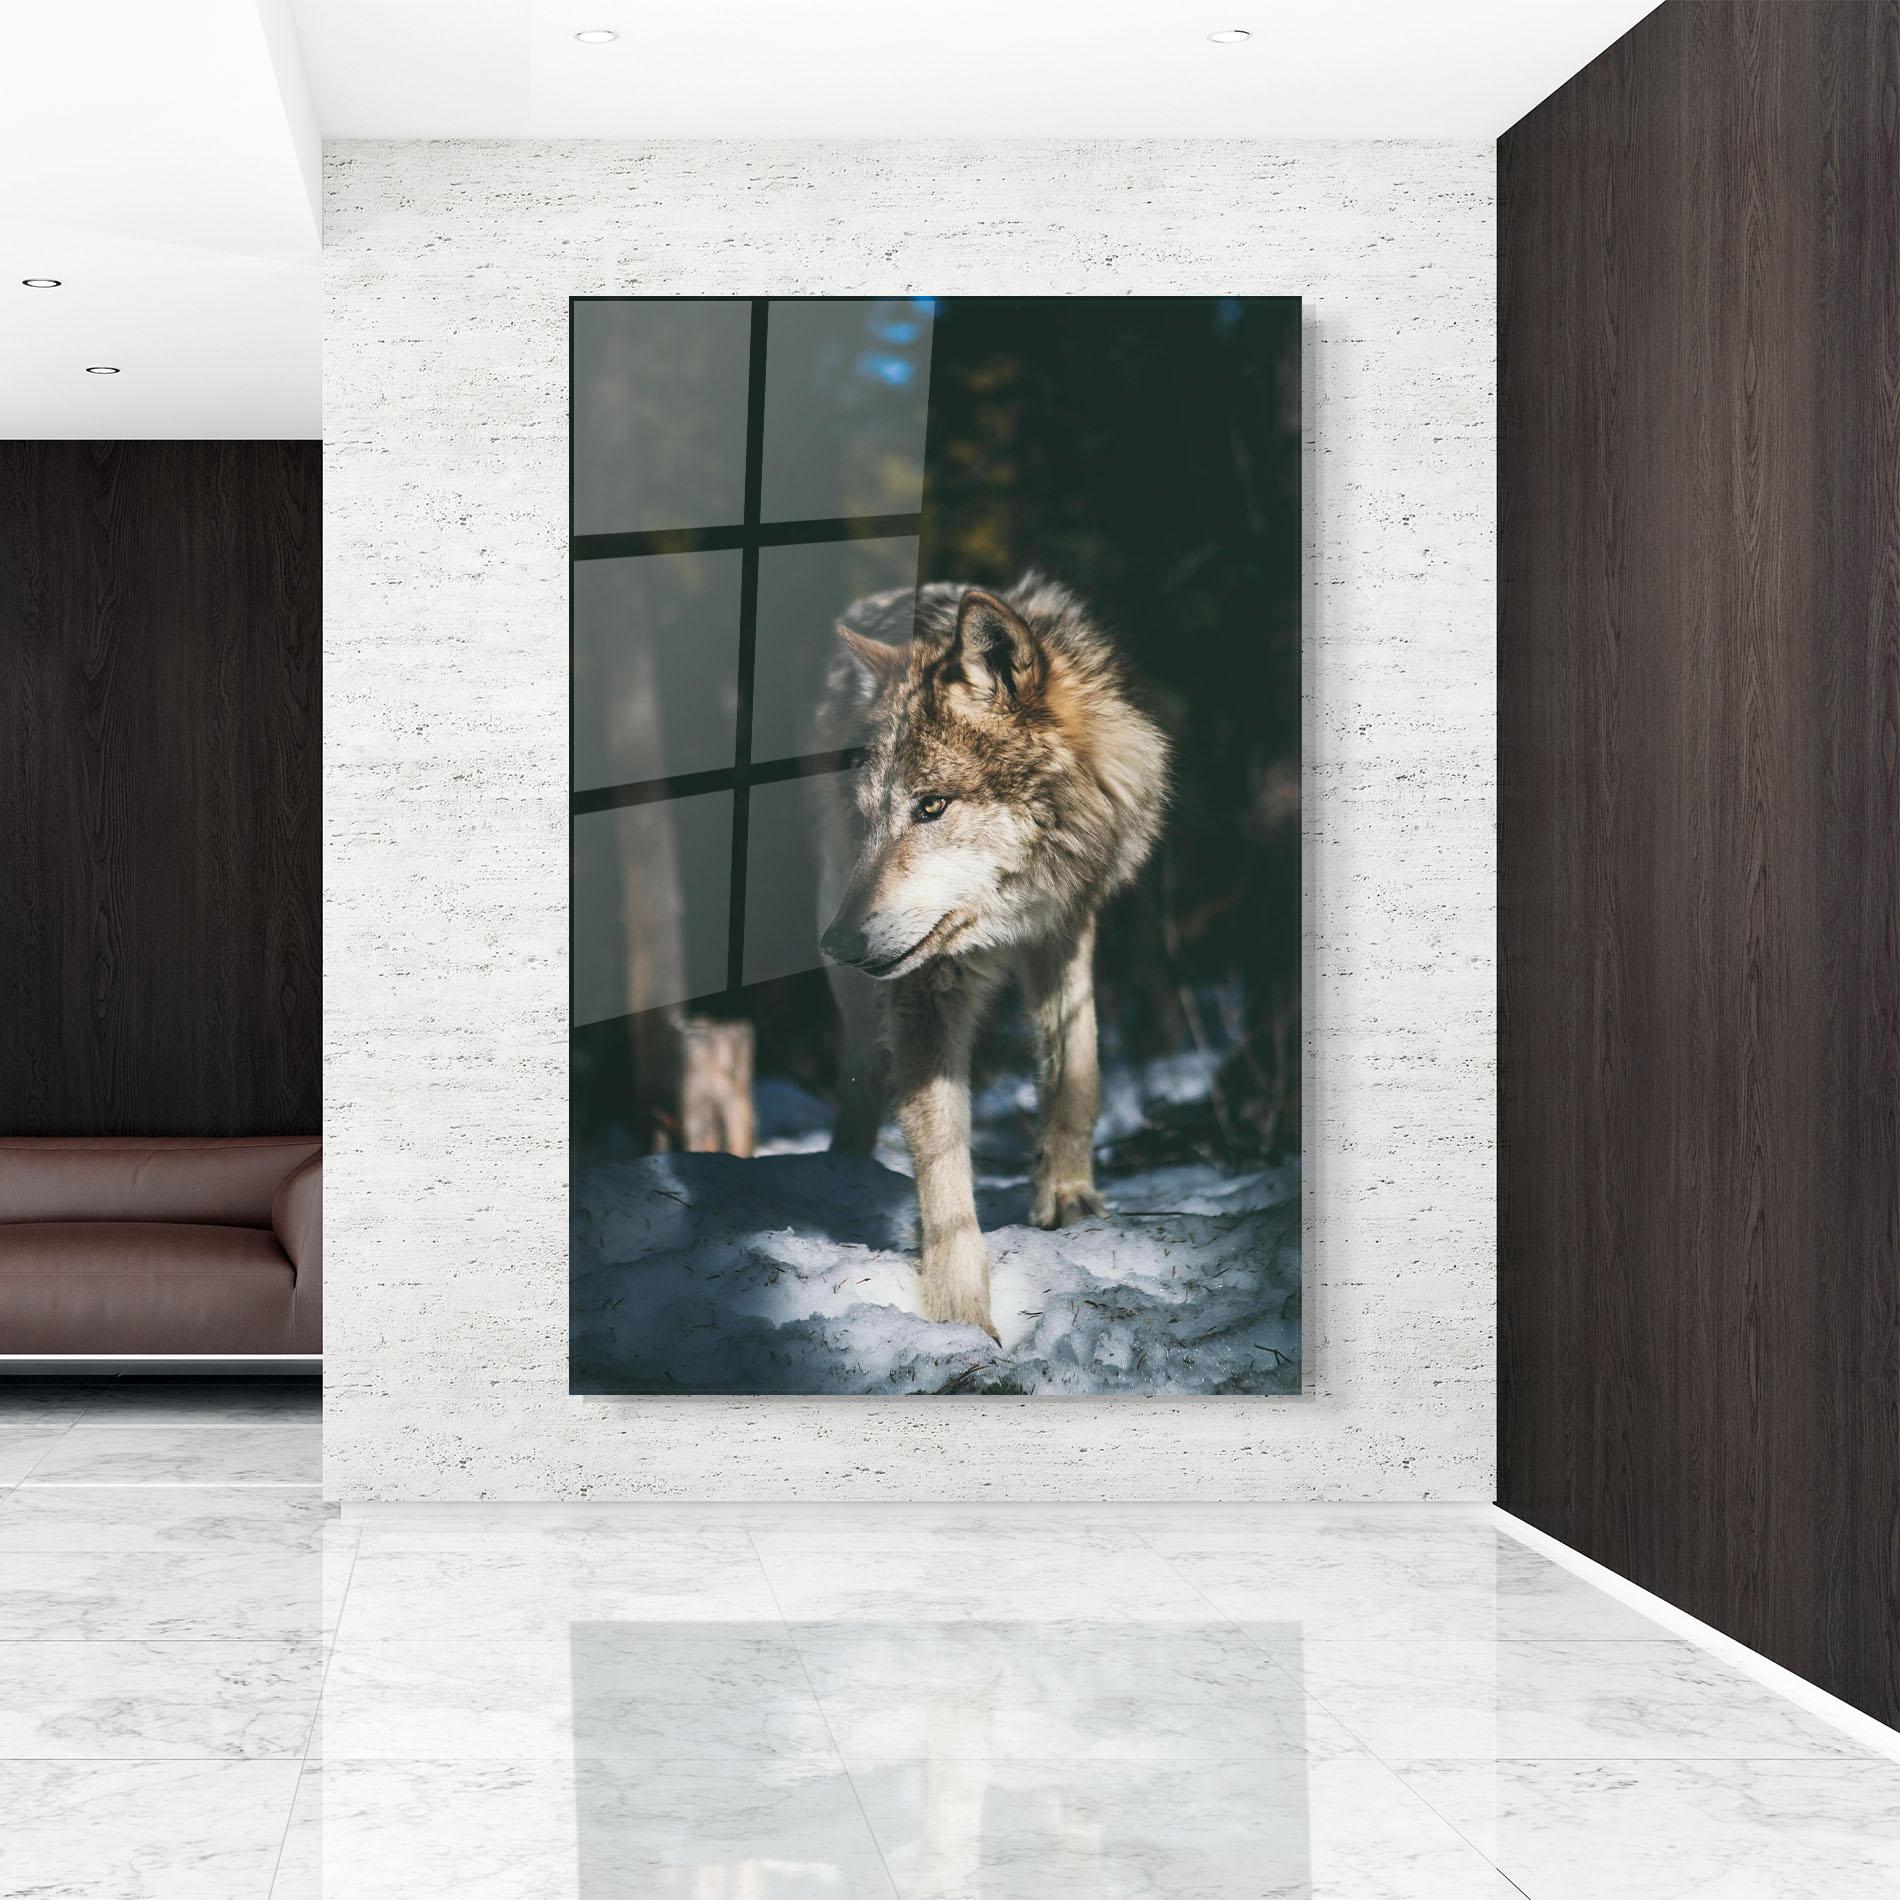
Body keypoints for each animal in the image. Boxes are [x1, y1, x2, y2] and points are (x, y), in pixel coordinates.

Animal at [814, 574, 1172, 1341]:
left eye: (931, 806)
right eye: (871, 816)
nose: (840, 943)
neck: (1007, 914)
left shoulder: (1066, 924)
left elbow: (1078, 1070)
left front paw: (1067, 1198)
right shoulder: (925, 985)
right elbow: (942, 1160)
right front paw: (959, 1318)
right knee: (862, 1072)